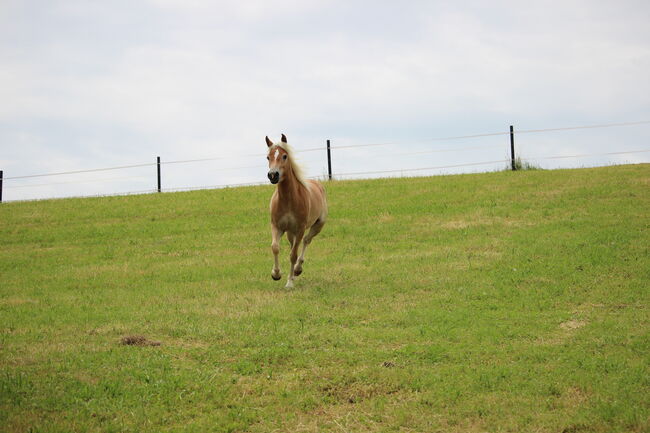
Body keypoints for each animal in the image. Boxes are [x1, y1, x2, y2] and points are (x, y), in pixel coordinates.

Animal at [264, 132, 326, 286]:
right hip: (289, 232)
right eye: (268, 157)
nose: (273, 175)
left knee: (306, 241)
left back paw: (298, 269)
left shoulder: (300, 229)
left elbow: (293, 255)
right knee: (295, 244)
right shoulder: (277, 226)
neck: (288, 200)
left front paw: (289, 283)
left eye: (285, 156)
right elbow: (275, 247)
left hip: (317, 225)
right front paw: (276, 274)